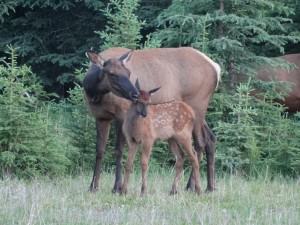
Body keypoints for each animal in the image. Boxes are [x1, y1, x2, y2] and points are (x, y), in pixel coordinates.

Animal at [84, 46, 220, 192]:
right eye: (111, 74)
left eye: (128, 72)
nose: (135, 93)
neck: (95, 94)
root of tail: (216, 68)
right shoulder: (100, 116)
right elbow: (99, 150)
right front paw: (93, 186)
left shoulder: (121, 113)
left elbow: (118, 150)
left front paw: (117, 187)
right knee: (210, 138)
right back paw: (210, 186)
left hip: (198, 104)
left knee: (200, 142)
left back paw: (190, 186)